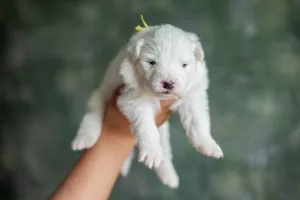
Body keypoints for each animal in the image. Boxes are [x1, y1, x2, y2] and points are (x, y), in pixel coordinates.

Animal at [71, 24, 224, 188]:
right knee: (91, 115)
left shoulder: (192, 97)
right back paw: (84, 139)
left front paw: (208, 144)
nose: (168, 83)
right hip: (99, 96)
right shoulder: (133, 100)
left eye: (184, 65)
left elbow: (197, 120)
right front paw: (151, 152)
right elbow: (146, 125)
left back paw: (169, 176)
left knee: (165, 151)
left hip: (163, 132)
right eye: (151, 62)